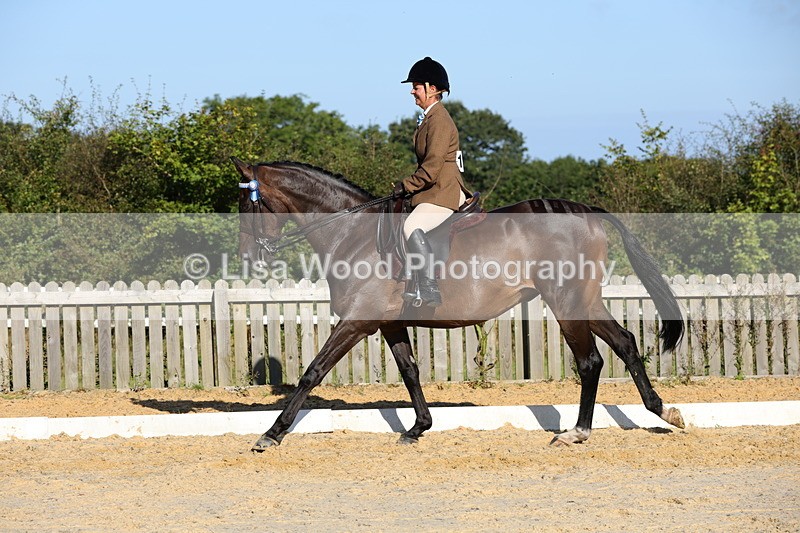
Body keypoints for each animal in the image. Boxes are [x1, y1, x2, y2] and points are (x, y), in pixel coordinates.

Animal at [232, 157, 686, 452]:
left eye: (246, 204)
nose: (249, 257)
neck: (352, 233)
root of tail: (585, 210)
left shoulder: (357, 320)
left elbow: (313, 372)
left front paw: (272, 433)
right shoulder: (389, 323)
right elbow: (410, 371)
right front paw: (418, 427)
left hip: (566, 300)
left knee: (590, 361)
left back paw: (576, 432)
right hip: (585, 301)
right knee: (625, 342)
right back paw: (663, 411)